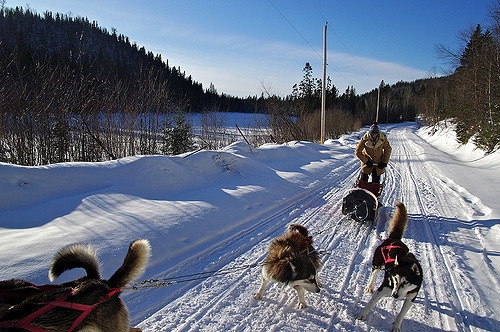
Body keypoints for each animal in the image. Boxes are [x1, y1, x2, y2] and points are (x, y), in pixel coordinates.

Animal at [356, 201, 422, 332]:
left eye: (406, 282)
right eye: (395, 280)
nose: (394, 295)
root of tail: (393, 239)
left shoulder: (411, 298)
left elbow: (401, 314)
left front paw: (396, 326)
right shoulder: (383, 289)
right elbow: (370, 304)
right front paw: (361, 315)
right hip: (377, 264)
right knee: (374, 274)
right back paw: (369, 287)